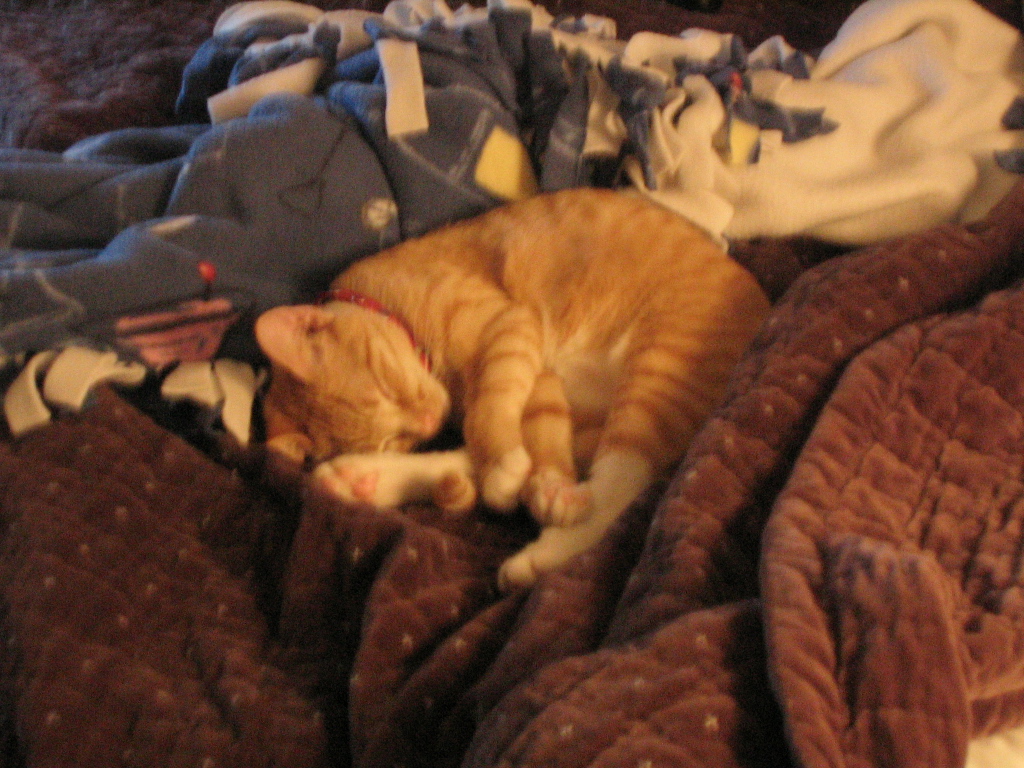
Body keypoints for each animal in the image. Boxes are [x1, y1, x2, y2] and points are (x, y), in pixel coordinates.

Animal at [255, 188, 770, 590]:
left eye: (384, 385)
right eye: (390, 438)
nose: (427, 421)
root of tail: (766, 306)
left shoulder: (508, 327)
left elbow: (494, 415)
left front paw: (524, 475)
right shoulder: (537, 372)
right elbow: (518, 430)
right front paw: (531, 477)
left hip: (659, 372)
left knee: (621, 486)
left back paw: (543, 550)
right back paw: (364, 479)